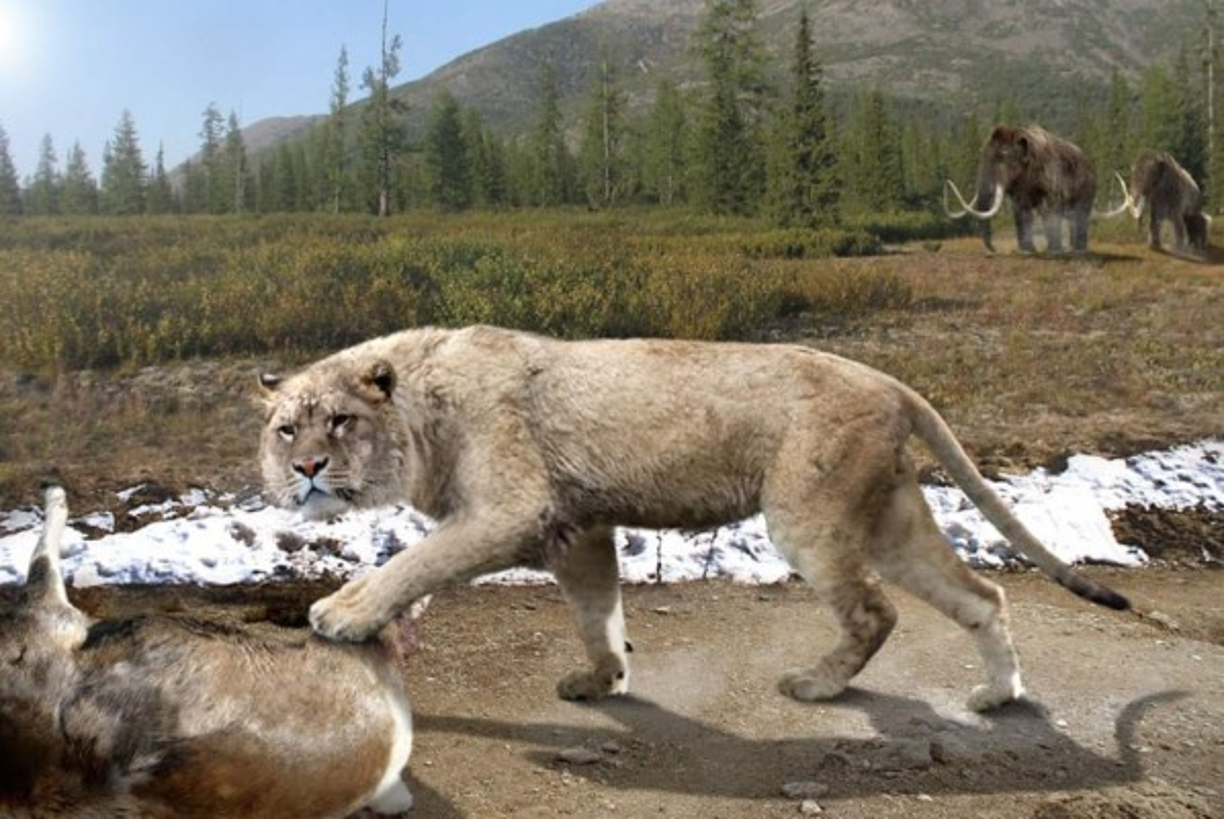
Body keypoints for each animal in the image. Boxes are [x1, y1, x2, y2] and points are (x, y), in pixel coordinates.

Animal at [260, 325, 1130, 713]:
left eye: (338, 422)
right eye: (285, 427)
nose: (305, 469)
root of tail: (888, 380)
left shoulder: (512, 510)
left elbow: (410, 562)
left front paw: (341, 613)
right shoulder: (577, 527)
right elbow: (598, 610)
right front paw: (601, 679)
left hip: (808, 514)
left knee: (874, 611)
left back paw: (815, 684)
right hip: (890, 518)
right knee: (982, 596)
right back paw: (998, 695)